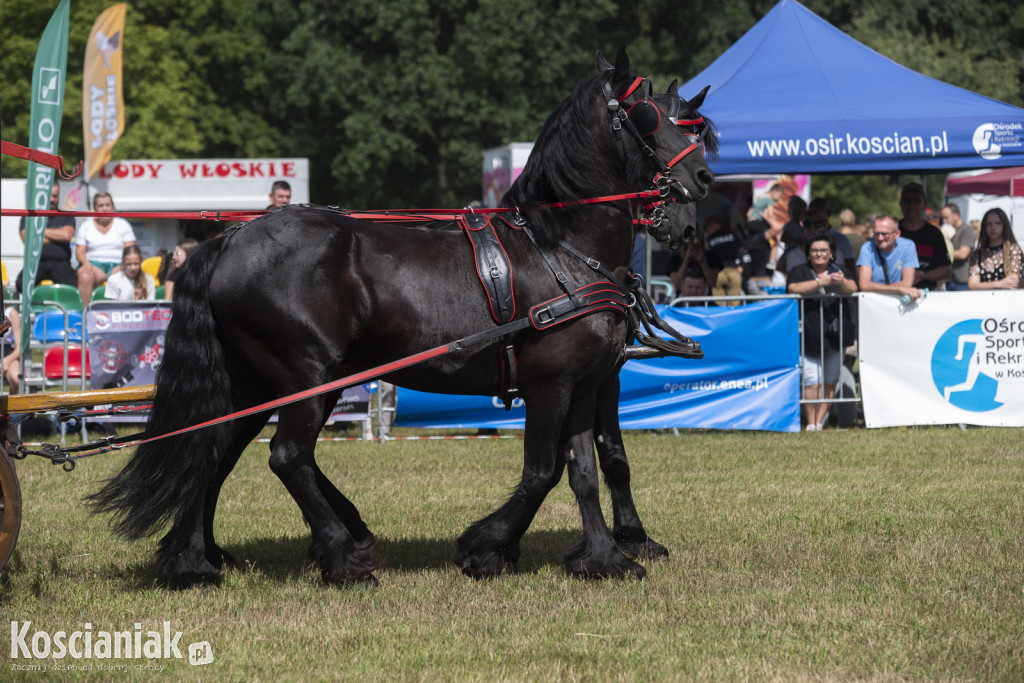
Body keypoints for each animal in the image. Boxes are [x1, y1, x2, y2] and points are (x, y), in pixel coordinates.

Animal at [92, 50, 712, 589]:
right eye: (648, 114)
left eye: (699, 128)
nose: (702, 184)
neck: (561, 248)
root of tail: (231, 239)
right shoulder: (550, 385)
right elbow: (543, 471)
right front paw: (485, 547)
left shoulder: (584, 384)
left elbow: (585, 468)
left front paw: (605, 558)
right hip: (304, 378)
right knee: (287, 457)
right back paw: (344, 558)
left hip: (258, 383)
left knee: (210, 450)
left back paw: (194, 561)